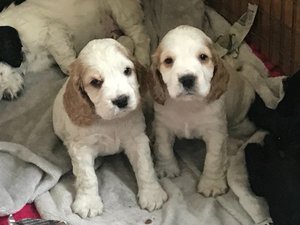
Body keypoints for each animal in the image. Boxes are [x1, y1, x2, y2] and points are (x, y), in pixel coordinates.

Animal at [0, 0, 150, 100]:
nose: (4, 96)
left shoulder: (52, 32)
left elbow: (65, 61)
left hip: (122, 12)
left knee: (140, 36)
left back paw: (142, 59)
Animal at [52, 39, 168, 219]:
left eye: (127, 71)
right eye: (95, 82)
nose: (121, 100)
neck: (110, 122)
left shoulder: (136, 139)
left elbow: (145, 167)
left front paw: (151, 194)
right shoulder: (81, 147)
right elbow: (87, 177)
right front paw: (88, 203)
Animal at [148, 25, 255, 197]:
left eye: (203, 57)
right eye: (168, 61)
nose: (187, 79)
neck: (188, 105)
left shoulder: (216, 132)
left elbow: (214, 158)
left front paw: (212, 184)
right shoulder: (163, 126)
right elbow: (164, 148)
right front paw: (166, 168)